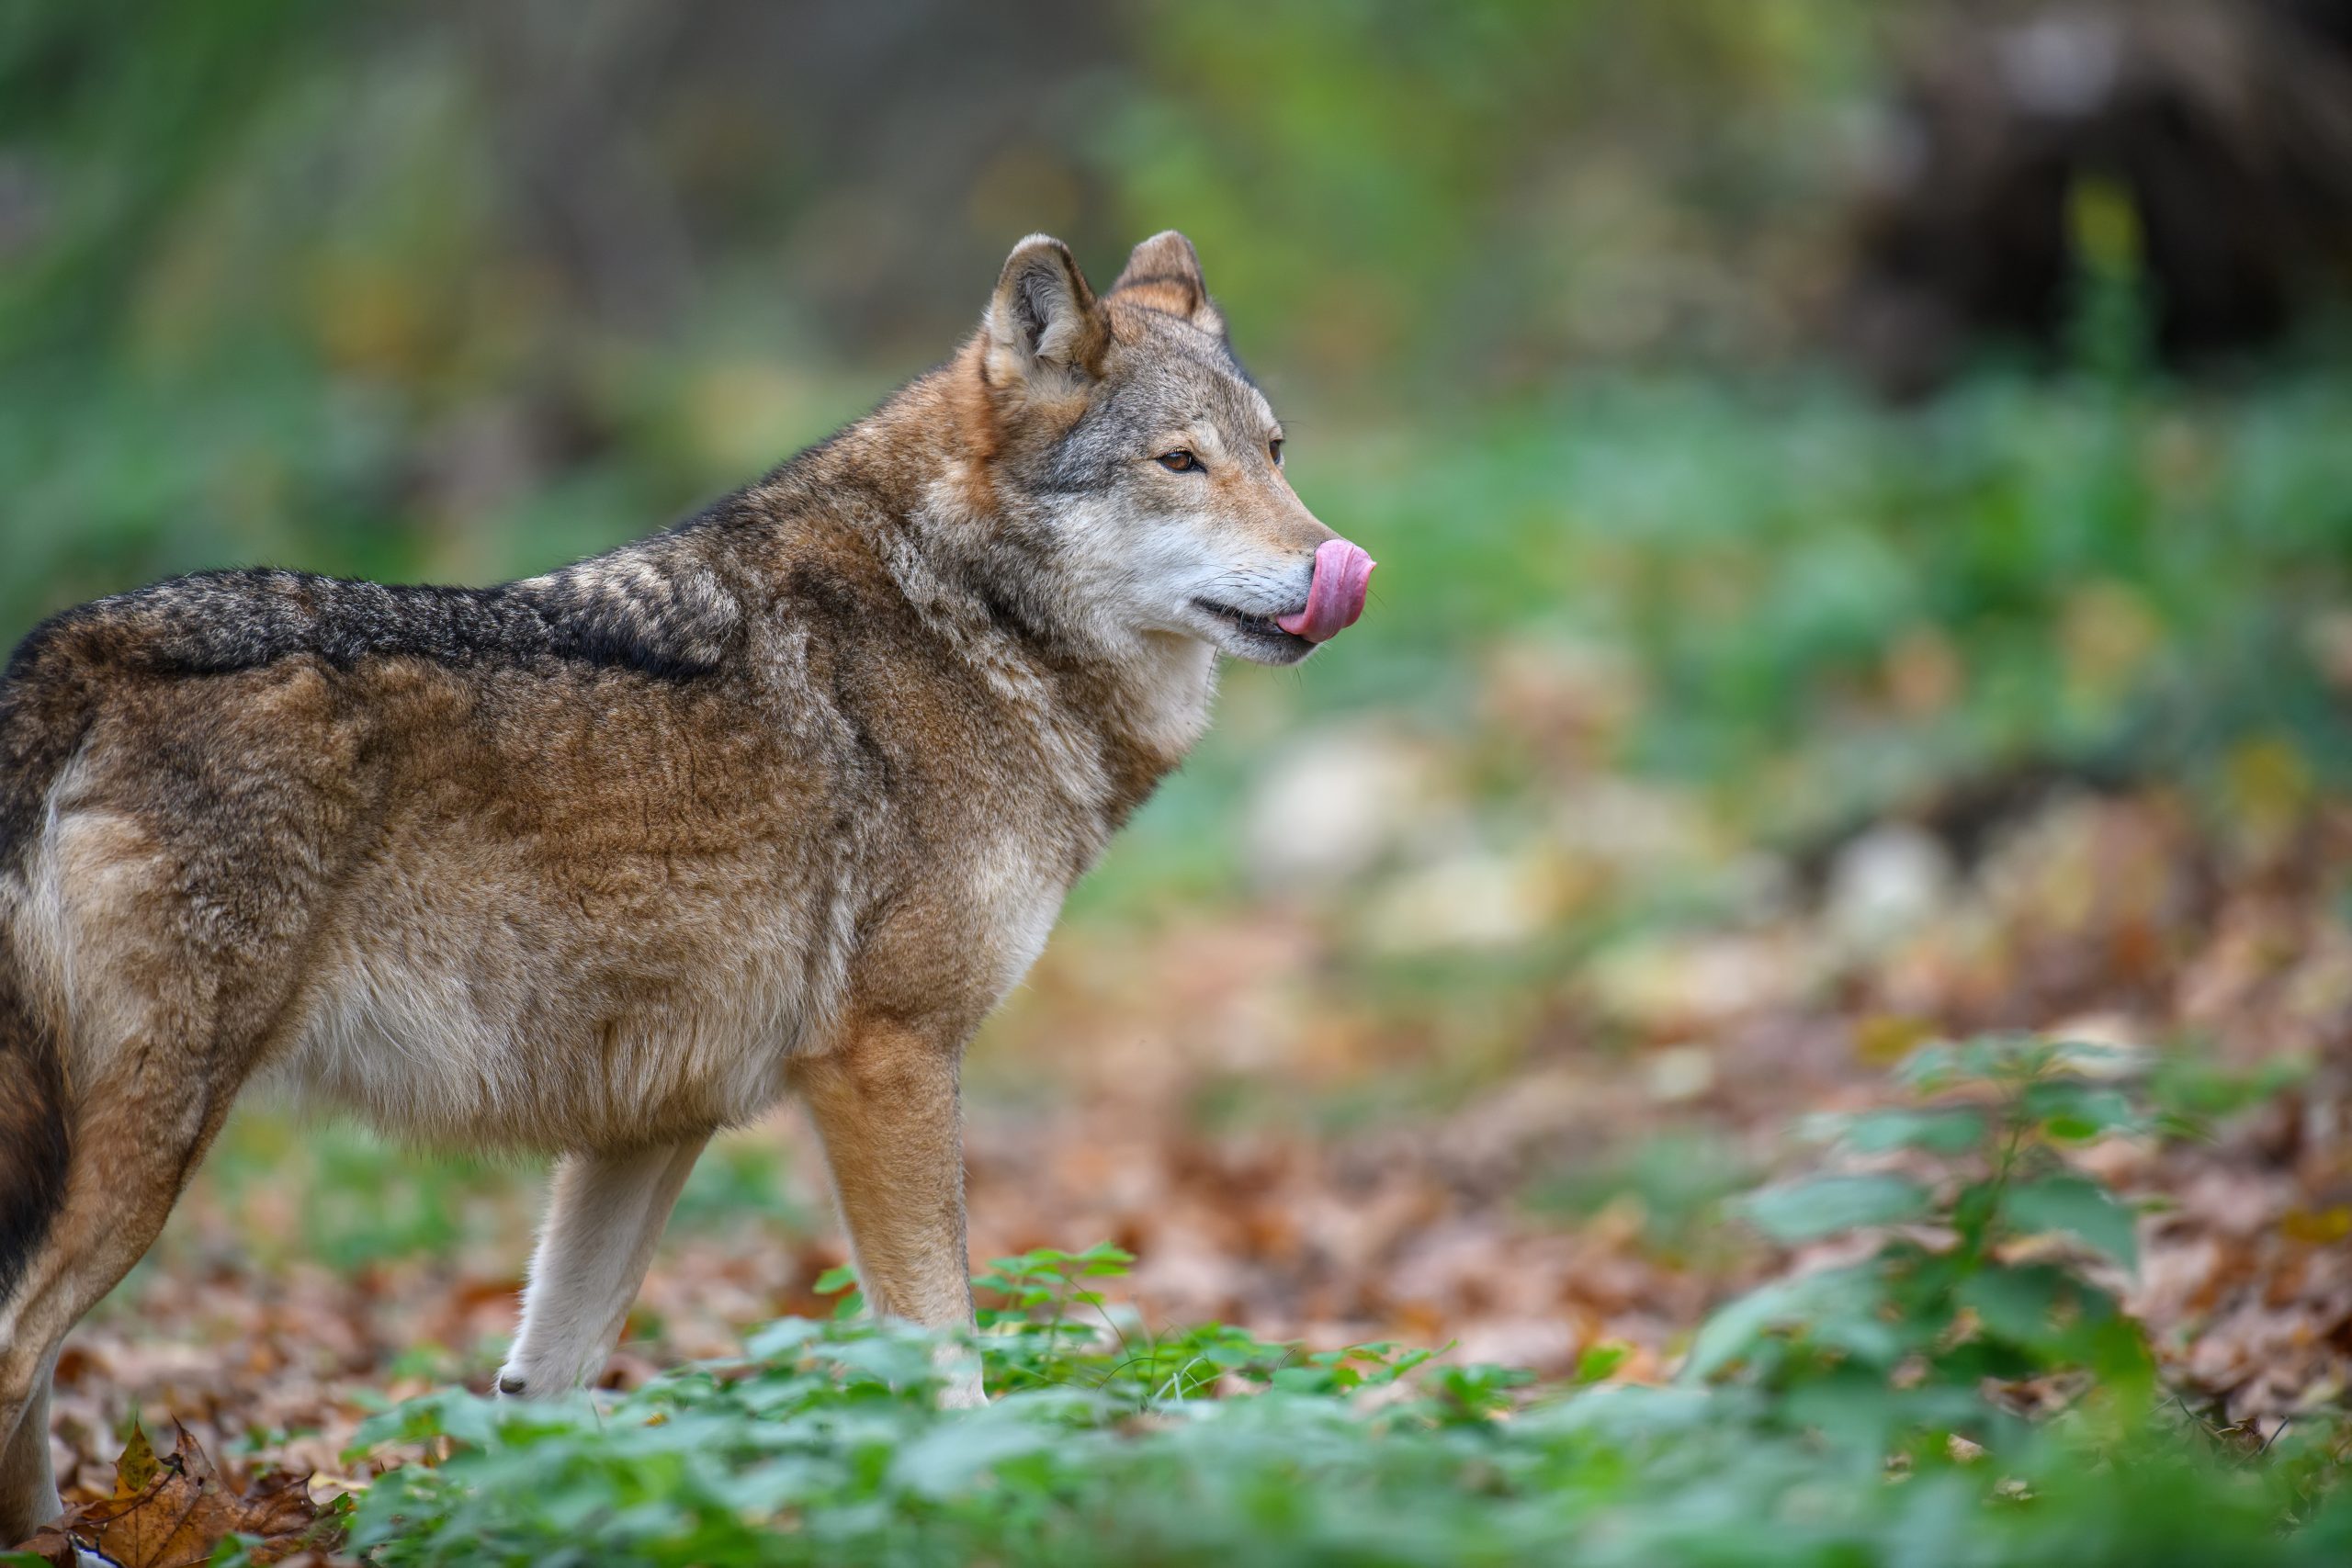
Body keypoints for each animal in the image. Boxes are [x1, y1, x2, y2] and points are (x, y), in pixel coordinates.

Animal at [0, 230, 1374, 1539]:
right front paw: (976, 1496)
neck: (963, 617)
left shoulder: (649, 1123)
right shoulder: (887, 1060)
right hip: (148, 1147)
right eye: (1180, 462)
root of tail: (70, 652)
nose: (1339, 567)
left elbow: (542, 1389)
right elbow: (945, 1354)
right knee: (21, 1350)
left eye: (1275, 451)